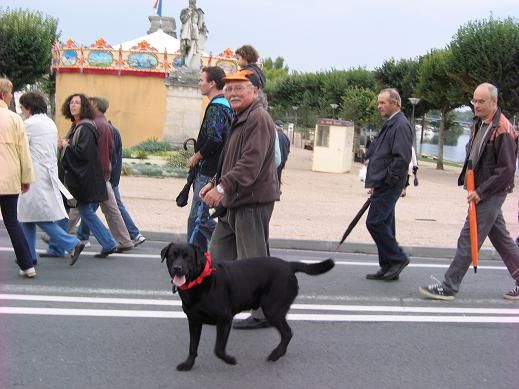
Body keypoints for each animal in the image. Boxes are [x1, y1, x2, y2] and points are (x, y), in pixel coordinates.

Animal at [160, 241, 336, 372]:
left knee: (287, 332)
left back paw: (275, 354)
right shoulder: (194, 322)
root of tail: (288, 265)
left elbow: (218, 349)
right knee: (286, 333)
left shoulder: (224, 319)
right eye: (172, 256)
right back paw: (280, 353)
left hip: (272, 310)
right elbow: (192, 346)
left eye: (188, 257)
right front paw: (188, 364)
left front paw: (230, 360)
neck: (200, 281)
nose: (177, 268)